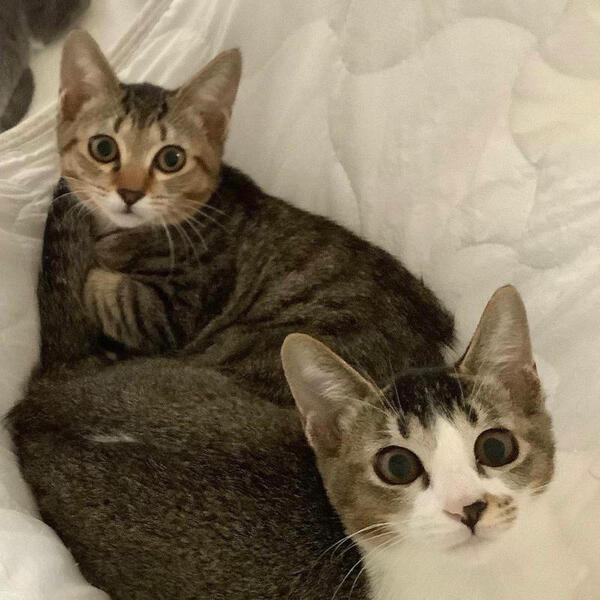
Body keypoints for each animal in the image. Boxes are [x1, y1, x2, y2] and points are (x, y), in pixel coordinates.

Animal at [39, 29, 453, 406]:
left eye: (171, 158)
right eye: (103, 148)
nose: (129, 193)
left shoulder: (173, 311)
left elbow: (105, 287)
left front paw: (97, 267)